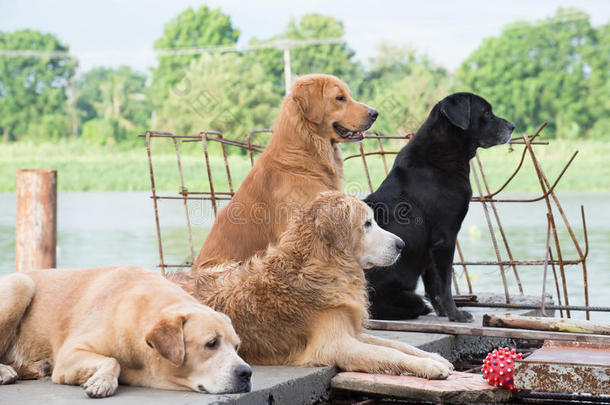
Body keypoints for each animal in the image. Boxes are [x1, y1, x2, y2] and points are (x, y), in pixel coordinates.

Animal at [0, 266, 251, 396]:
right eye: (211, 343)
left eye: (237, 347)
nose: (246, 373)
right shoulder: (69, 354)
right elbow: (112, 360)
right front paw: (102, 382)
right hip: (20, 284)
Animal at [171, 191, 452, 378]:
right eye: (367, 224)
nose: (401, 245)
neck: (324, 265)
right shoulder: (338, 346)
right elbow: (388, 354)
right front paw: (429, 367)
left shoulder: (352, 332)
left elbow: (398, 345)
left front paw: (434, 358)